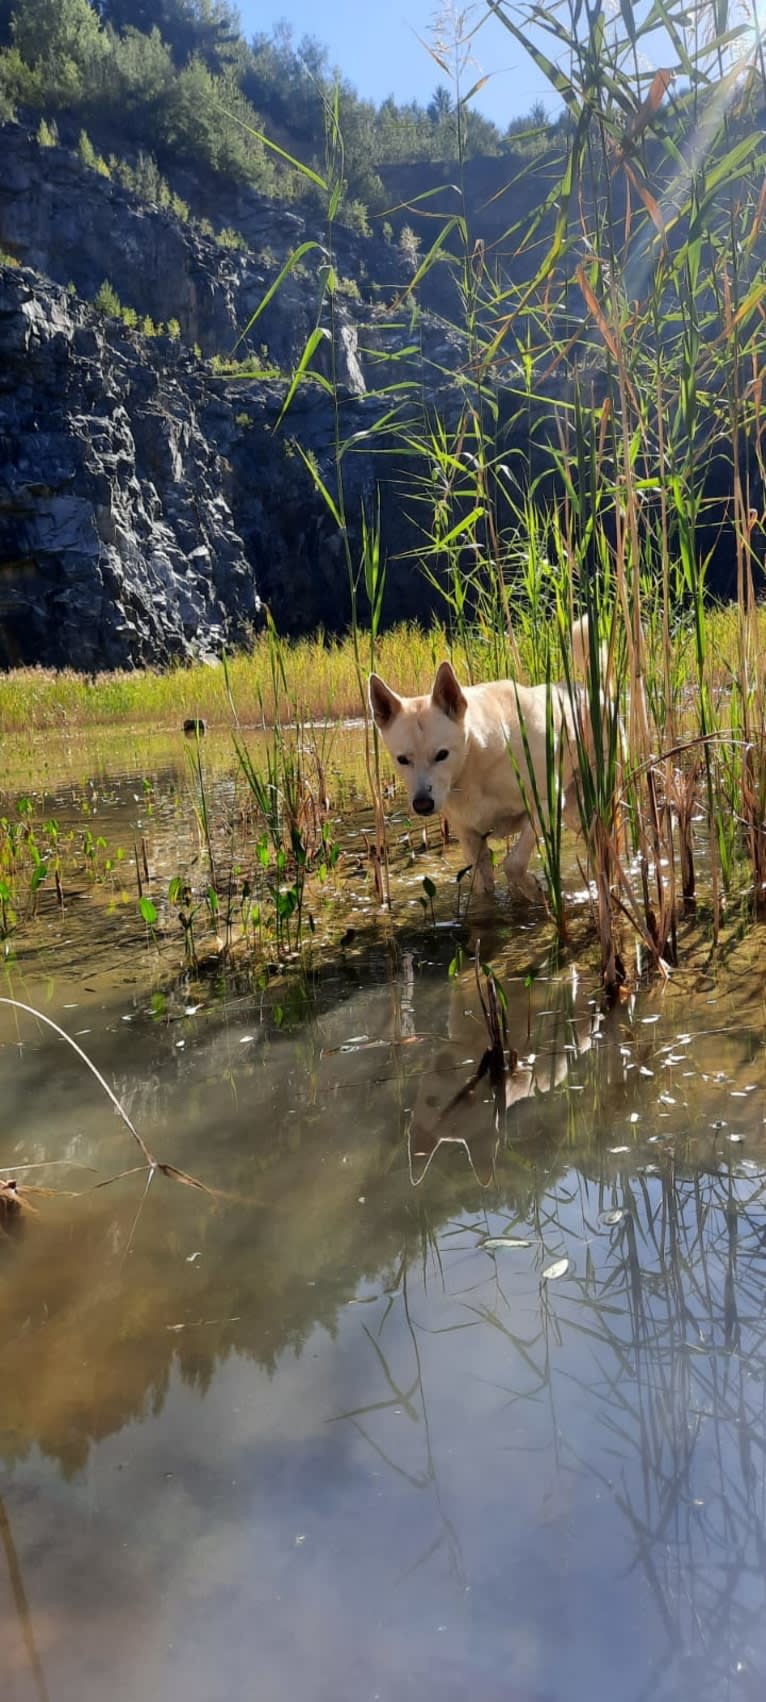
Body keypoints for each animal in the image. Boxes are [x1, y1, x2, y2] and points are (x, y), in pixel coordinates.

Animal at [369, 646, 585, 898]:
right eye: (402, 760)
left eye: (442, 754)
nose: (422, 804)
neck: (473, 768)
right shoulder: (469, 835)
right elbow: (482, 887)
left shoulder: (545, 805)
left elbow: (513, 863)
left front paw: (532, 888)